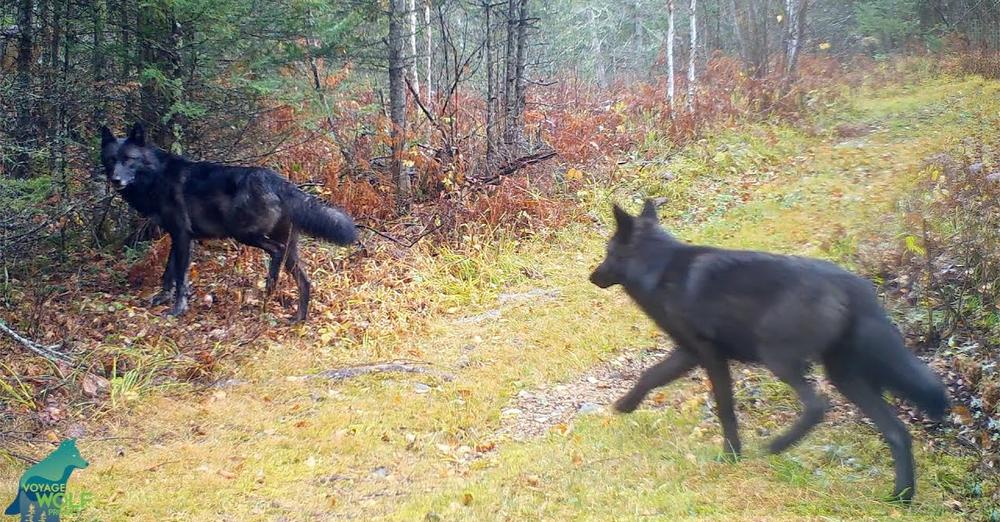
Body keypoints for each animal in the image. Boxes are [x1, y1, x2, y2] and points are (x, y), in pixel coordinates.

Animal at [100, 123, 357, 321]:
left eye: (129, 159)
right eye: (111, 160)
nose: (115, 180)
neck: (156, 175)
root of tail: (278, 181)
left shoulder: (182, 235)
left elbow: (180, 278)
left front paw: (177, 309)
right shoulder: (176, 236)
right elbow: (168, 273)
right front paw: (161, 298)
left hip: (244, 234)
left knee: (276, 252)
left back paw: (271, 285)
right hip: (286, 249)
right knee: (304, 281)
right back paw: (297, 318)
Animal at [590, 200, 949, 501]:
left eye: (608, 251)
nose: (591, 277)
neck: (659, 268)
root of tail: (854, 286)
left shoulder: (710, 356)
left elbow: (725, 409)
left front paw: (731, 455)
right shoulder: (687, 352)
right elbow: (650, 376)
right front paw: (625, 405)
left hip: (780, 360)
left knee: (818, 405)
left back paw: (777, 446)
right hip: (845, 377)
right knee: (897, 432)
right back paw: (901, 497)